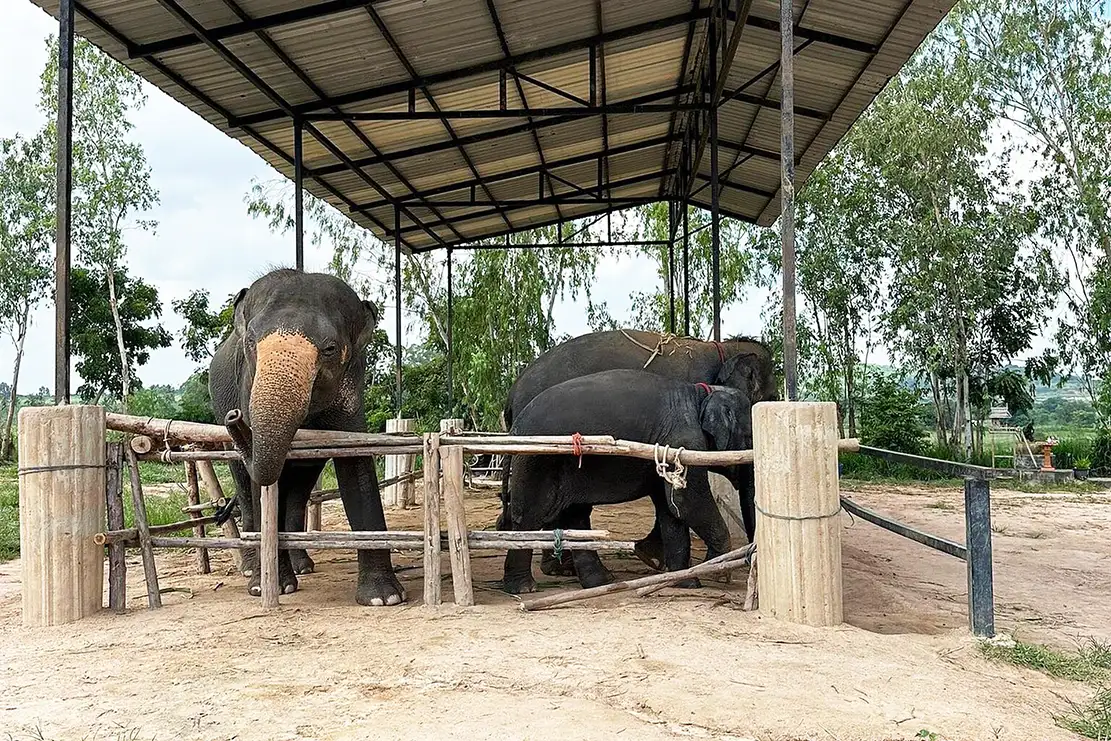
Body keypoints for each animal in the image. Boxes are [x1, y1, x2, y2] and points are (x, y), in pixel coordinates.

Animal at [208, 268, 406, 607]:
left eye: (330, 349)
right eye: (250, 342)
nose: (234, 417)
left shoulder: (352, 387)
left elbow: (355, 460)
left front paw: (384, 598)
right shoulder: (246, 382)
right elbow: (264, 485)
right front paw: (268, 588)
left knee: (299, 488)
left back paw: (302, 565)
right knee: (245, 485)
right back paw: (251, 569)